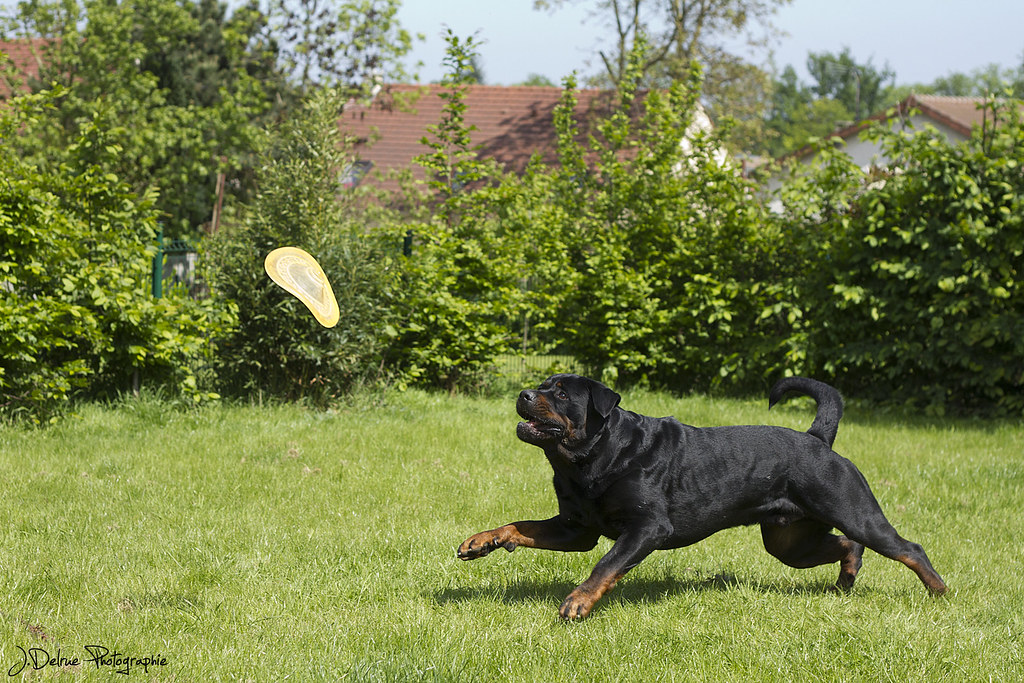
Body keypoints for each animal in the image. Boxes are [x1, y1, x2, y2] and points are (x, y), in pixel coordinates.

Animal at [460, 374, 946, 618]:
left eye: (560, 393)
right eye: (540, 386)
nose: (523, 394)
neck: (591, 458)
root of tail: (817, 440)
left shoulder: (647, 528)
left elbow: (606, 565)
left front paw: (579, 600)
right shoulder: (575, 529)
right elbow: (520, 526)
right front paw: (481, 541)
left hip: (854, 509)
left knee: (907, 547)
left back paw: (938, 591)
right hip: (789, 542)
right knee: (846, 545)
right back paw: (845, 579)